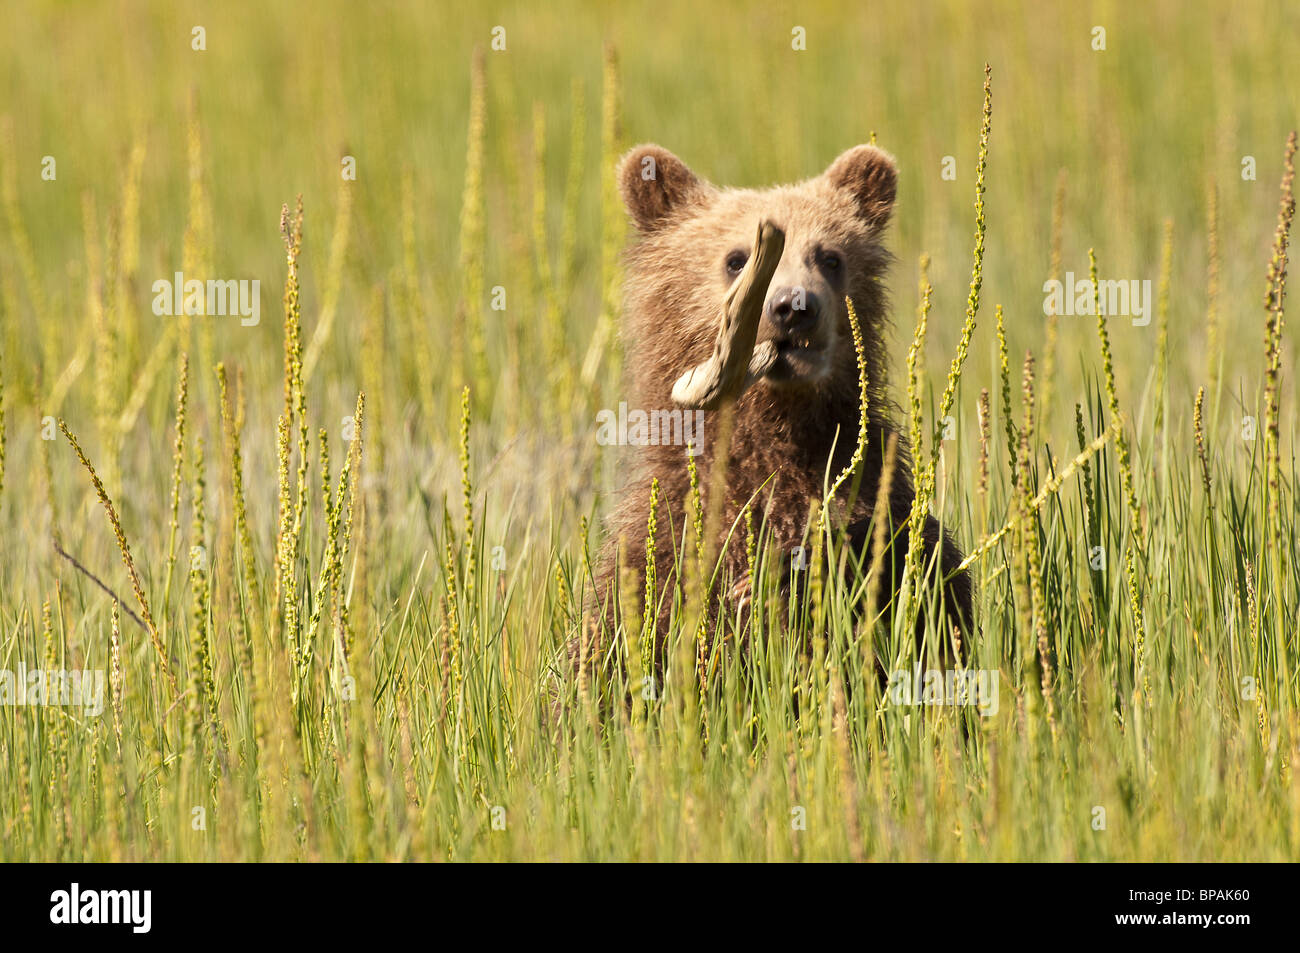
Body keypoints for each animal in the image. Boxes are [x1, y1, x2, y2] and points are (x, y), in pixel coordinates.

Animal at [582, 142, 973, 686]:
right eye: (735, 259)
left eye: (830, 256)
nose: (793, 307)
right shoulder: (663, 550)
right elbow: (622, 649)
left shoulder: (883, 524)